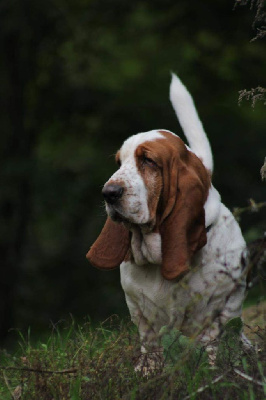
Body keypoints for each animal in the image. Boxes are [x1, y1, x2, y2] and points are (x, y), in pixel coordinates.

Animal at [87, 76, 247, 372]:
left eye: (148, 161)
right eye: (119, 162)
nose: (108, 193)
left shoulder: (220, 309)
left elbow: (211, 343)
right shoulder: (139, 311)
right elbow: (151, 343)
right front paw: (148, 372)